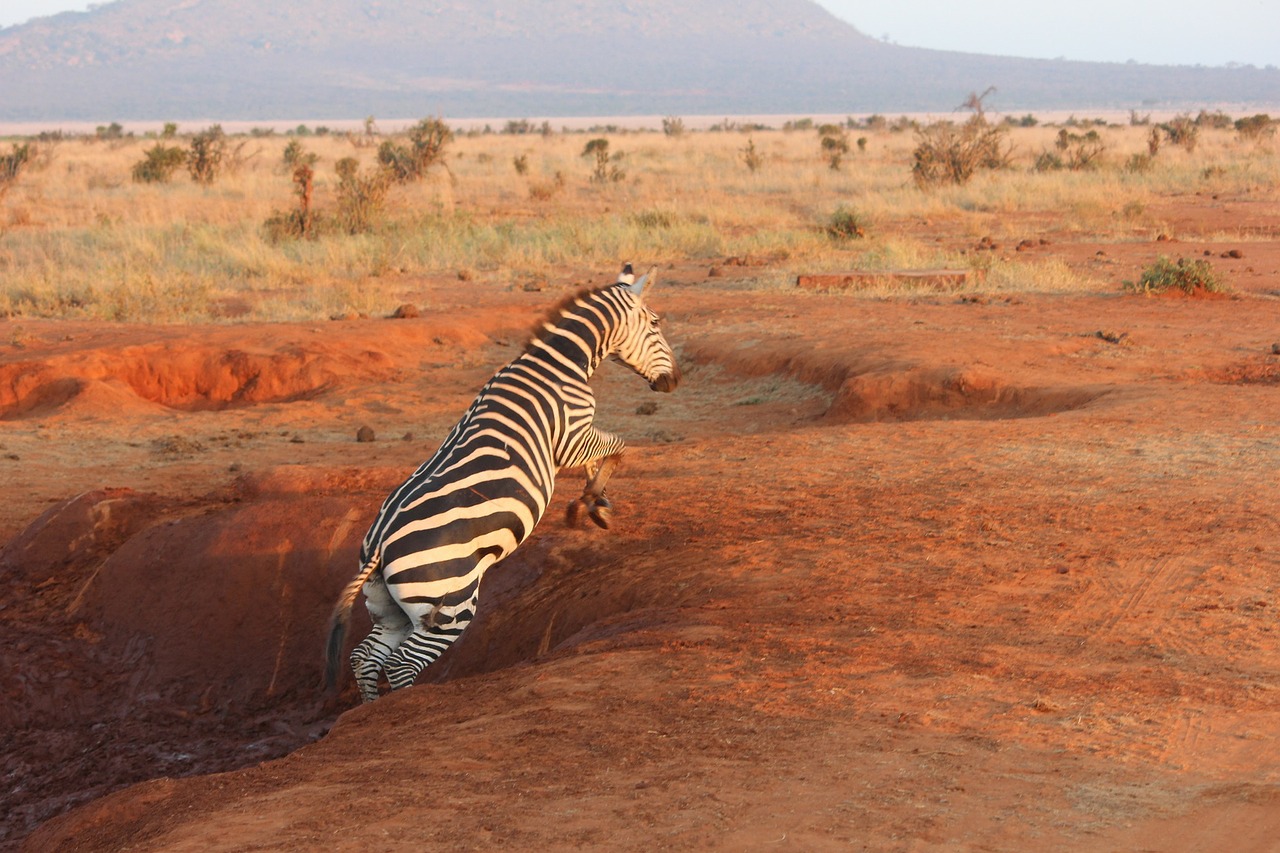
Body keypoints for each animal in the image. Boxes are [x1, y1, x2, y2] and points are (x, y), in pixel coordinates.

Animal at [325, 262, 680, 701]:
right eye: (655, 323)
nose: (674, 381)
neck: (559, 362)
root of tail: (379, 544)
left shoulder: (570, 442)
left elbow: (598, 459)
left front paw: (595, 503)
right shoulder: (571, 435)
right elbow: (618, 448)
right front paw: (592, 502)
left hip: (388, 609)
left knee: (365, 658)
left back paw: (368, 709)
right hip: (449, 605)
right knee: (401, 664)